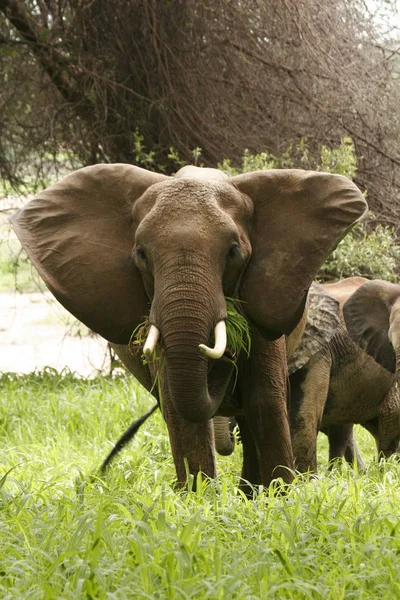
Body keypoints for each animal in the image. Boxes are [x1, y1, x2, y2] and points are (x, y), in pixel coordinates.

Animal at [10, 164, 366, 492]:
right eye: (141, 254)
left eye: (233, 252)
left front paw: (281, 497)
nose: (226, 357)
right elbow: (181, 411)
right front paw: (200, 501)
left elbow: (265, 399)